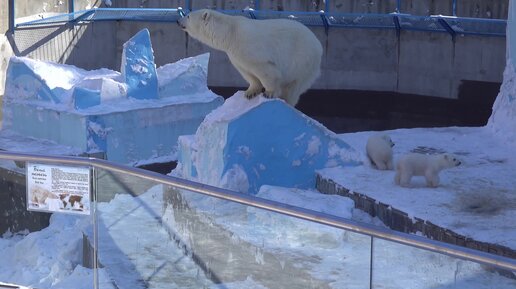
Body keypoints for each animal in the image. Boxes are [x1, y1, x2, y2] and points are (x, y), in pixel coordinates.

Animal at [178, 9, 322, 107]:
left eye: (188, 16)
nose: (178, 21)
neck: (230, 33)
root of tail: (319, 46)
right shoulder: (236, 55)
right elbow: (247, 72)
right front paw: (250, 92)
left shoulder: (249, 47)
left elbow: (266, 70)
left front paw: (269, 93)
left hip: (302, 60)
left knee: (293, 86)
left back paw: (286, 100)